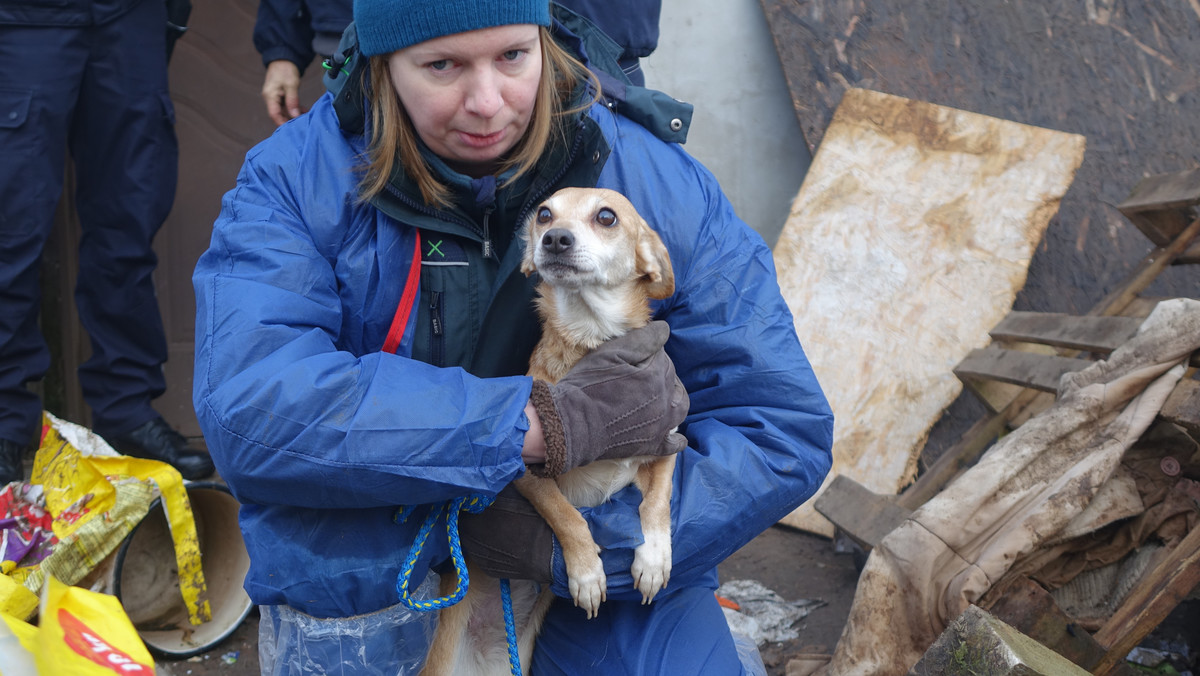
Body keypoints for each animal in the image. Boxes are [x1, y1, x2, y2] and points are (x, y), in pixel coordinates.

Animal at [424, 186, 681, 676]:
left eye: (607, 217)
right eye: (544, 214)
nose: (555, 238)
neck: (591, 338)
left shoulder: (667, 440)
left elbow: (657, 501)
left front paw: (655, 557)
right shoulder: (526, 469)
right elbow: (567, 515)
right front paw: (585, 572)